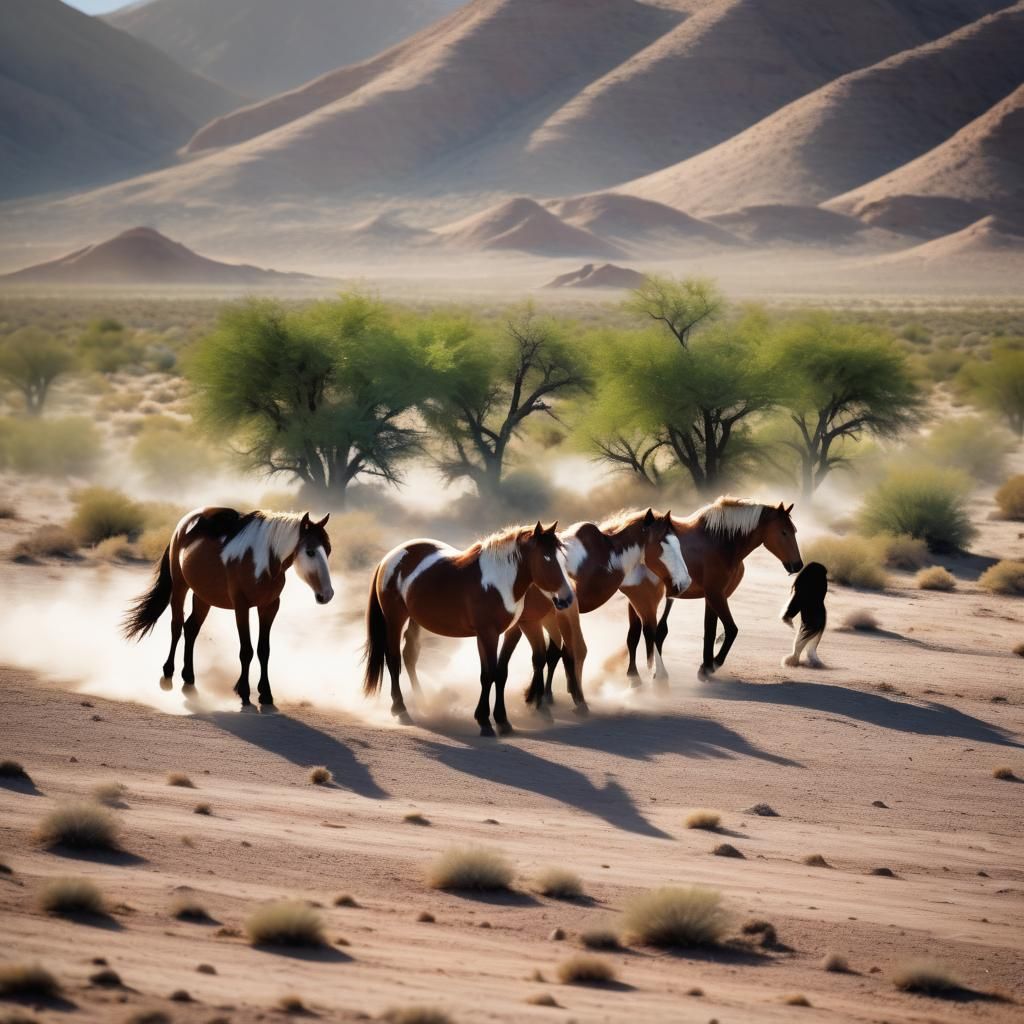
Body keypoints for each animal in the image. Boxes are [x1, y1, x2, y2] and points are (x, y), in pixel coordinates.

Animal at [123, 508, 333, 709]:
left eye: (328, 551)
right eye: (310, 552)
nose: (327, 594)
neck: (264, 561)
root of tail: (183, 525)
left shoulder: (270, 606)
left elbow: (263, 650)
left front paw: (266, 694)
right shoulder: (241, 607)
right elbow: (246, 650)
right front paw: (244, 692)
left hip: (203, 597)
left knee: (190, 629)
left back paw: (189, 677)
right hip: (180, 586)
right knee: (176, 626)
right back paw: (167, 675)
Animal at [363, 521, 573, 737]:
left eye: (561, 557)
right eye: (546, 558)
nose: (566, 598)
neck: (500, 582)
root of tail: (389, 558)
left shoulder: (511, 631)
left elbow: (500, 673)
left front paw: (502, 720)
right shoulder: (487, 634)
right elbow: (488, 675)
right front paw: (484, 721)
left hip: (415, 620)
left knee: (409, 655)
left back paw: (423, 703)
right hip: (395, 619)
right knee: (393, 660)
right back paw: (401, 710)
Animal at [492, 508, 692, 714]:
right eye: (663, 544)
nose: (684, 582)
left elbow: (556, 653)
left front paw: (545, 695)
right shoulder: (561, 613)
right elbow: (570, 652)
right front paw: (569, 698)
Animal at [621, 497, 802, 682]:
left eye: (794, 531)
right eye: (783, 532)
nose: (797, 565)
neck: (721, 544)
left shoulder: (713, 597)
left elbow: (710, 630)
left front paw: (706, 666)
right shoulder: (715, 595)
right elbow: (731, 630)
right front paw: (713, 664)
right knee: (637, 634)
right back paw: (635, 674)